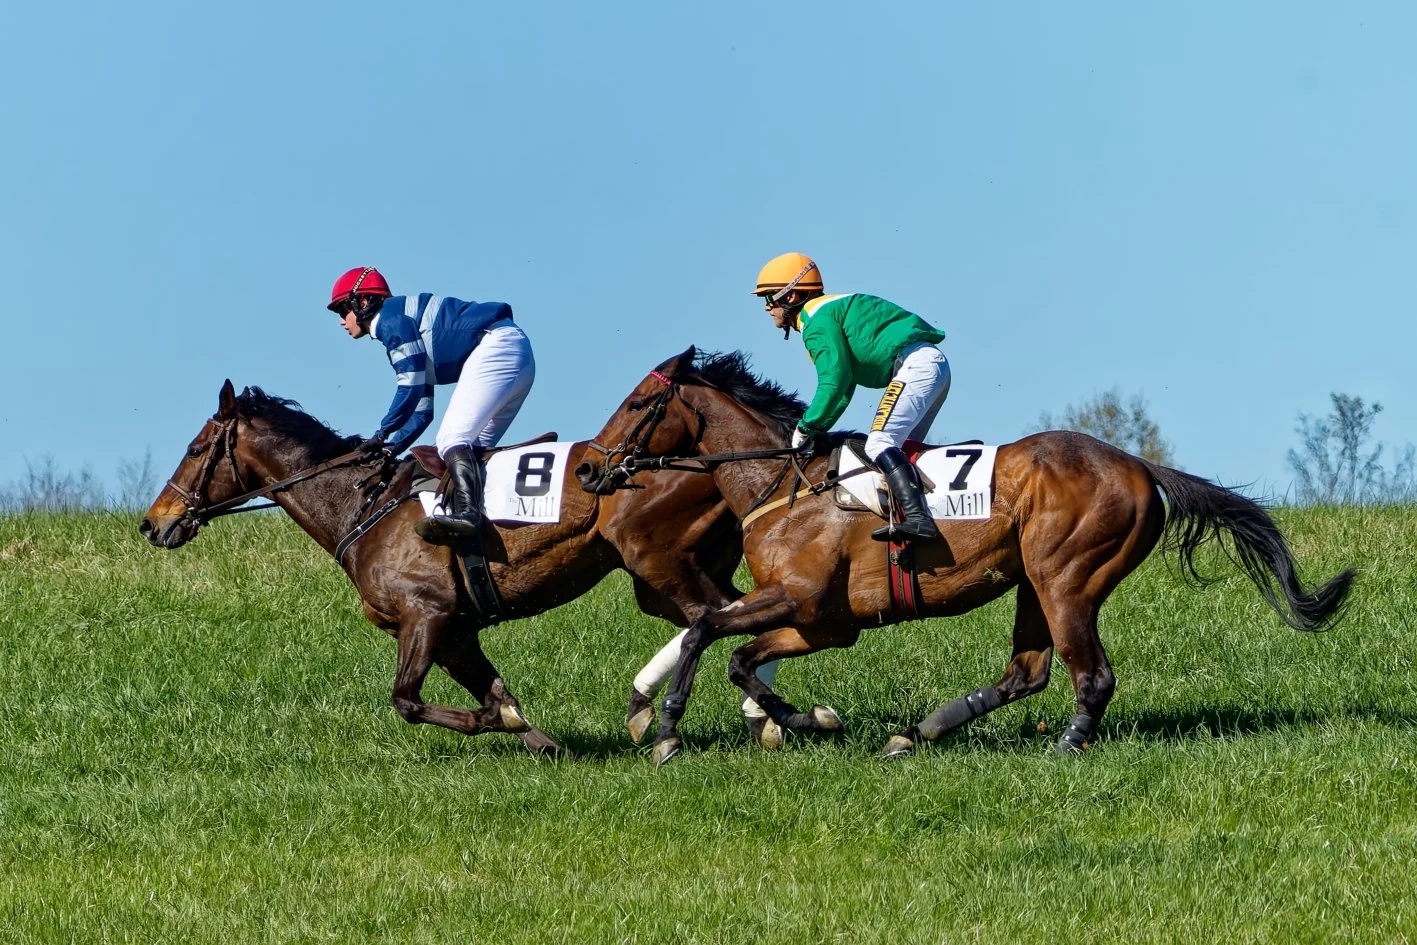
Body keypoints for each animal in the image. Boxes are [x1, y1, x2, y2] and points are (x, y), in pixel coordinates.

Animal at [140, 379, 750, 755]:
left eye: (195, 450)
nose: (152, 523)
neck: (363, 508)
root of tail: (697, 452)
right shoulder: (456, 633)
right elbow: (498, 693)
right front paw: (541, 741)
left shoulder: (426, 615)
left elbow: (410, 701)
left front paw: (497, 723)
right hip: (668, 576)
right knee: (731, 611)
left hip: (657, 562)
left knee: (716, 618)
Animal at [576, 348, 1355, 763]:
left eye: (637, 403)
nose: (587, 470)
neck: (782, 482)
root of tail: (1137, 465)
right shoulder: (824, 622)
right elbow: (739, 655)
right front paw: (808, 718)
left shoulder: (800, 601)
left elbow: (707, 630)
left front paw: (667, 730)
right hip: (1033, 583)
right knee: (1026, 673)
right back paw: (914, 733)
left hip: (1064, 576)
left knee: (1090, 674)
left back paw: (1066, 745)